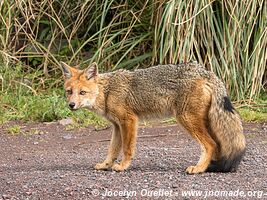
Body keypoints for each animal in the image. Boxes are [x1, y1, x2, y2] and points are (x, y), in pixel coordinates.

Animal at [60, 61, 247, 173]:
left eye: (82, 92)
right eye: (69, 92)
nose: (71, 105)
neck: (107, 91)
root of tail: (205, 71)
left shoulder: (129, 121)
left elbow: (127, 149)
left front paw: (123, 166)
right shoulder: (116, 126)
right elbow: (112, 150)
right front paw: (106, 165)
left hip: (186, 120)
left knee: (211, 144)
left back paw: (199, 168)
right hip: (203, 122)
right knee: (218, 145)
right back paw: (211, 166)